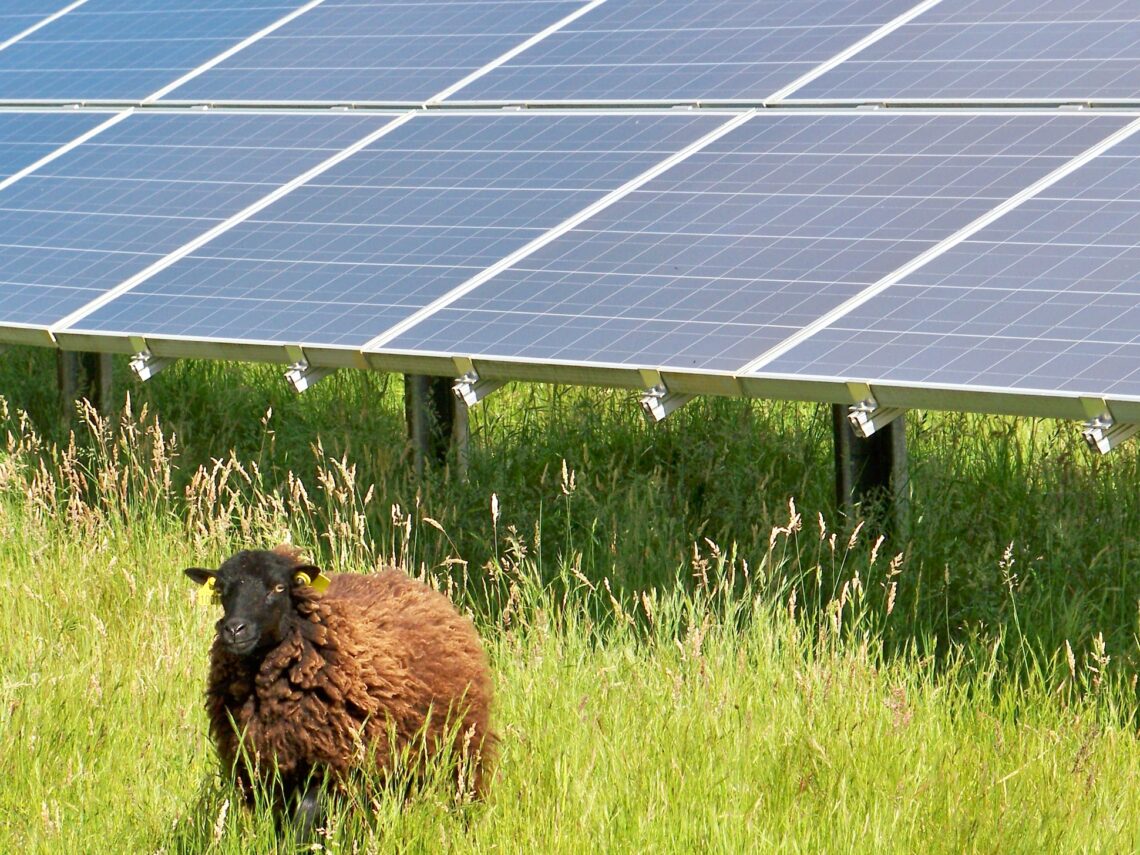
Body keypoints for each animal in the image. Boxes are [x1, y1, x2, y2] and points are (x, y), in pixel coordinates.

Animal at [182, 549, 494, 839]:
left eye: (279, 587)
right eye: (222, 590)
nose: (234, 629)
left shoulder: (331, 764)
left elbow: (304, 818)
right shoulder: (259, 768)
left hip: (463, 747)